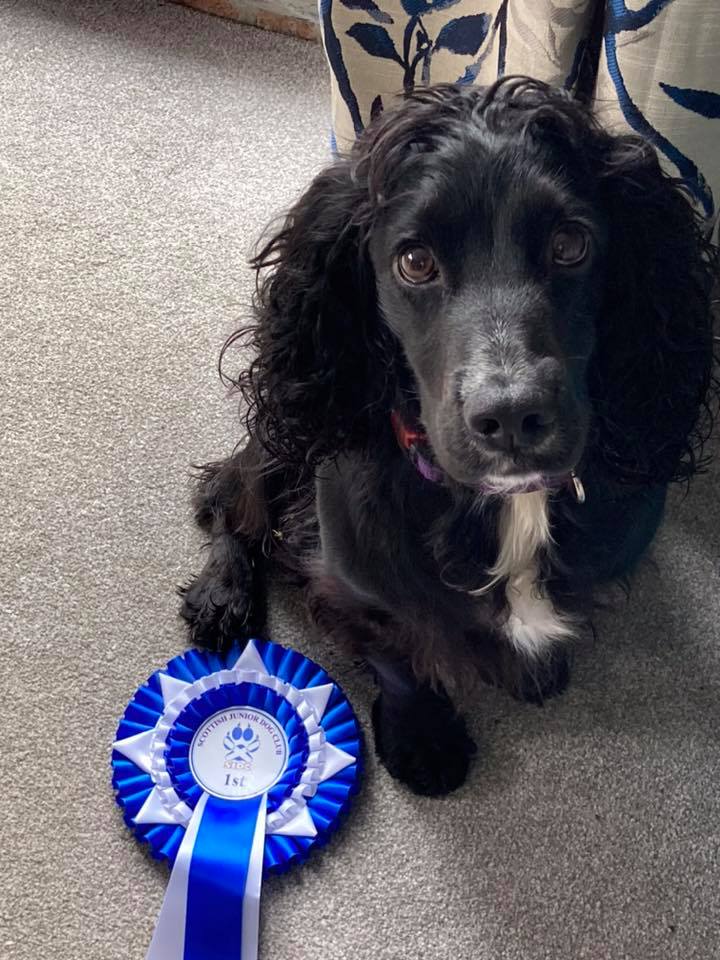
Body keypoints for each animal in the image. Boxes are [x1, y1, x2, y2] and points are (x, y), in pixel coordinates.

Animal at [180, 77, 718, 797]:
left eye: (570, 244)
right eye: (414, 261)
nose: (512, 415)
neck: (510, 506)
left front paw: (534, 666)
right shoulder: (361, 586)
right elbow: (398, 659)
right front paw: (423, 739)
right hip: (282, 439)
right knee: (226, 498)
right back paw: (222, 593)